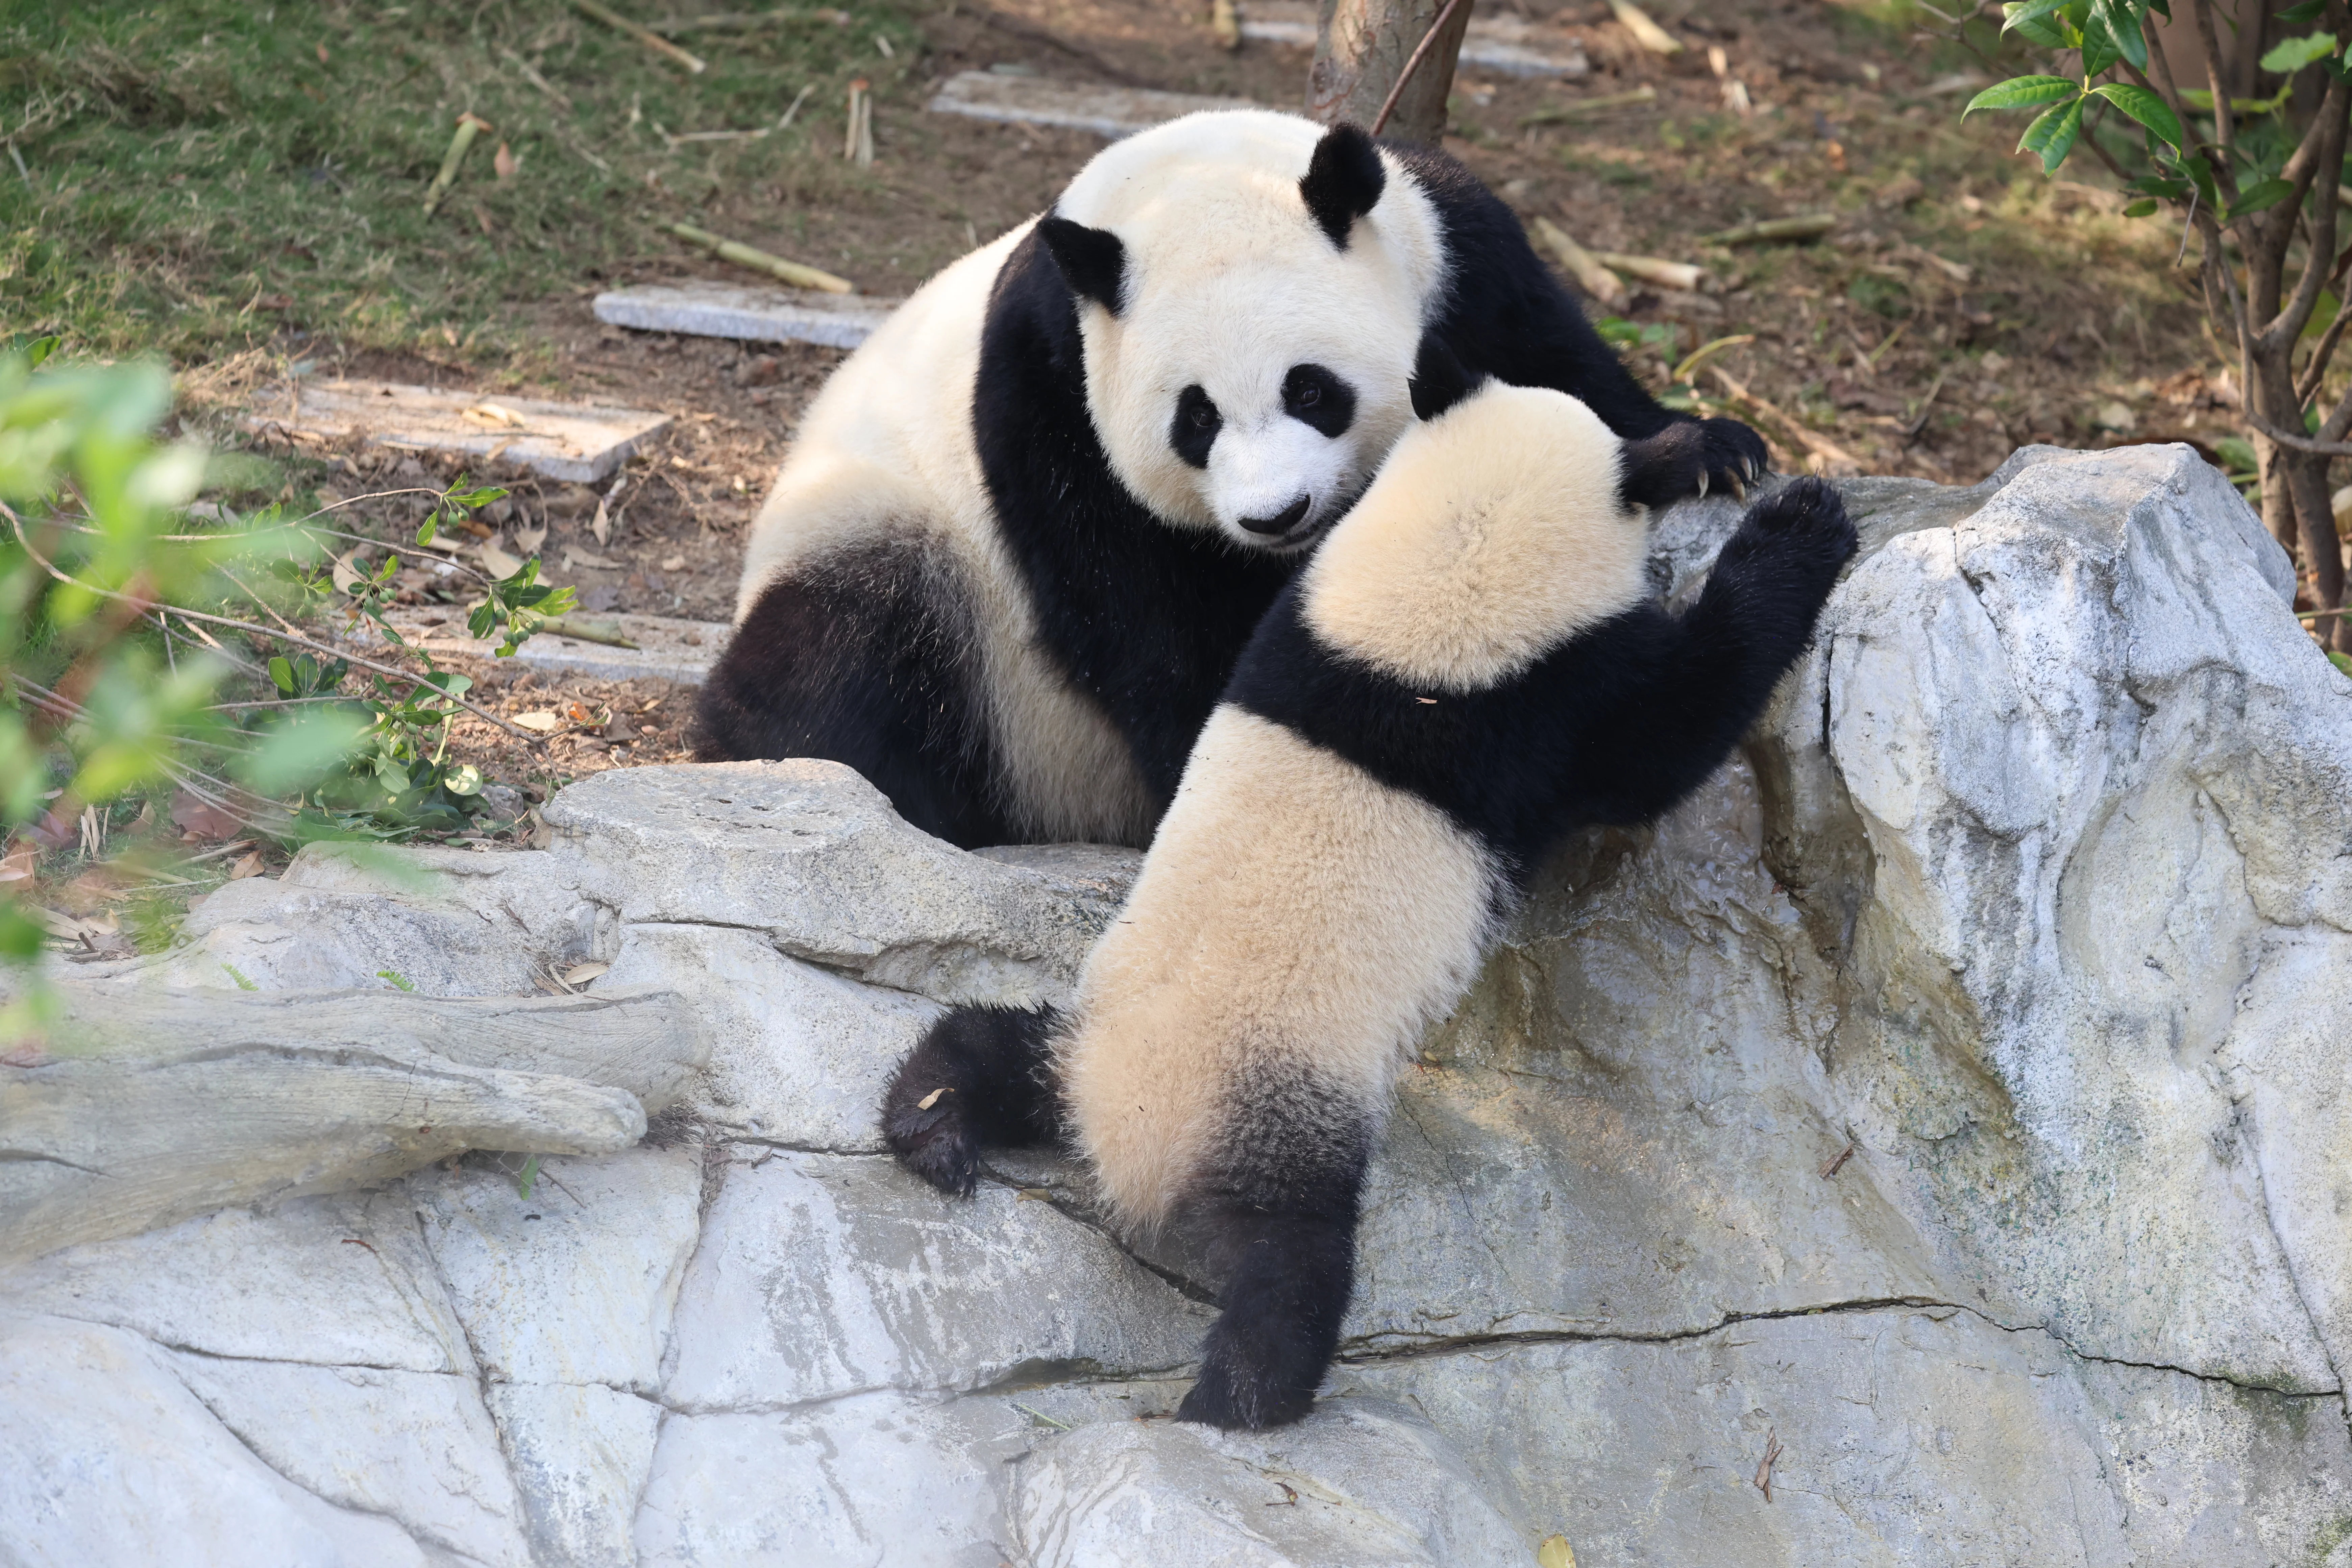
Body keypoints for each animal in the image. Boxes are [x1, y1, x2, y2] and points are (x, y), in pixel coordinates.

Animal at [694, 110, 1769, 850]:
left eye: (1312, 389)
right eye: (1196, 418)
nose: (1276, 515)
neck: (1182, 181)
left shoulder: (1461, 259)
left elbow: (1559, 366)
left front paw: (1700, 451)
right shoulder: (1049, 394)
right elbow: (1142, 619)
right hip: (913, 561)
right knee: (835, 666)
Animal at [880, 344, 1858, 1430]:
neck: (1438, 584)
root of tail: (1121, 1137)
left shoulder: (1303, 621)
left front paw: (1704, 450)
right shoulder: (1545, 701)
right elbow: (1678, 726)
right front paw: (1798, 519)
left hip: (1092, 1032)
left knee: (989, 1044)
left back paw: (931, 1125)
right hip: (1276, 1115)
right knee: (1291, 1266)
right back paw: (1241, 1398)